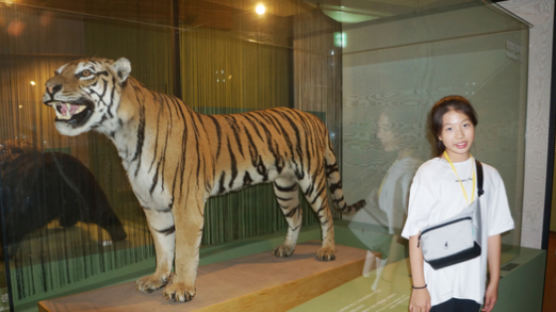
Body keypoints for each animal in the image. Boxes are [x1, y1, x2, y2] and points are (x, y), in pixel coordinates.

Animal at [42, 56, 364, 302]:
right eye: (57, 72)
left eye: (86, 73)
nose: (48, 86)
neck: (121, 136)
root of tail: (316, 118)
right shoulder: (153, 206)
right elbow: (162, 246)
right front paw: (158, 278)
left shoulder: (186, 204)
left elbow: (184, 251)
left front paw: (181, 288)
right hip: (284, 187)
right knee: (295, 216)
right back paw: (287, 249)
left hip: (311, 179)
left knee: (326, 214)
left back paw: (327, 250)